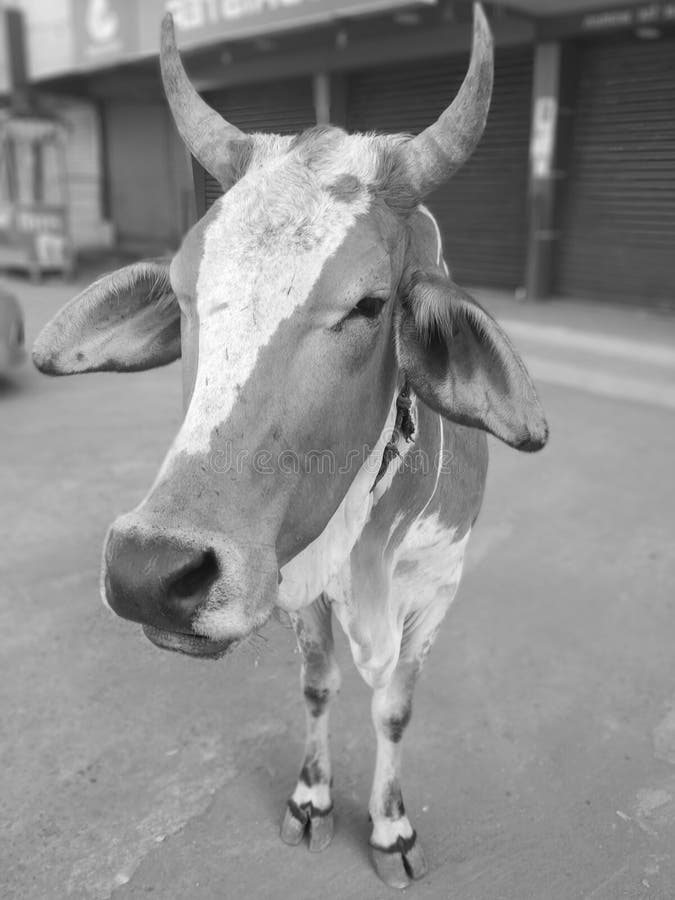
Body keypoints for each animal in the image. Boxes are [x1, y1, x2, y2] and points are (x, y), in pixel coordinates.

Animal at [32, 4, 547, 889]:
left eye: (371, 303)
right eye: (183, 290)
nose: (149, 572)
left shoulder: (435, 588)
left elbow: (394, 708)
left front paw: (390, 828)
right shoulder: (298, 581)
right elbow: (316, 686)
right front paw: (310, 799)